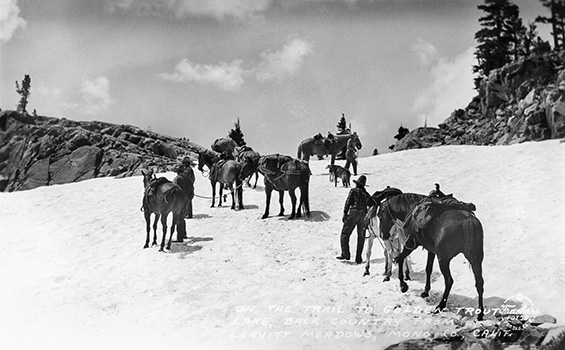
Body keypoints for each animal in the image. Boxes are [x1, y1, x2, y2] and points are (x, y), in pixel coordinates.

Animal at [378, 193, 484, 322]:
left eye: (380, 215)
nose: (383, 235)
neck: (411, 211)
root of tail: (468, 221)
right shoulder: (431, 250)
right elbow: (428, 269)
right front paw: (425, 291)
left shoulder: (411, 244)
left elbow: (401, 259)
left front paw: (403, 285)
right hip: (475, 259)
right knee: (479, 283)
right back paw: (480, 313)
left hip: (444, 259)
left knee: (449, 280)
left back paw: (440, 306)